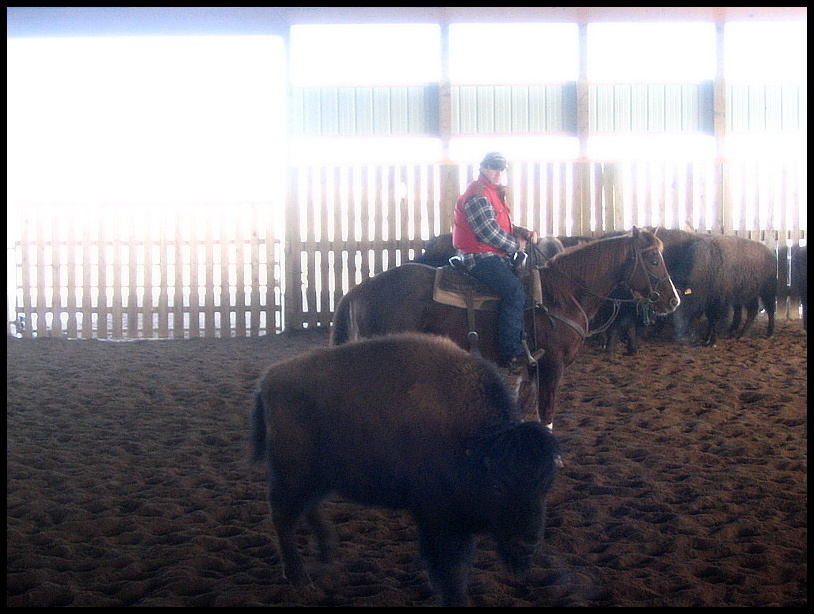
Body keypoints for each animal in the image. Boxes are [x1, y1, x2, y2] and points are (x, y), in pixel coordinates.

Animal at [252, 334, 564, 608]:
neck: (472, 443)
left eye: (547, 484)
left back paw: (326, 553)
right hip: (294, 476)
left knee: (307, 509)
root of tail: (270, 378)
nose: (528, 544)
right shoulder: (441, 520)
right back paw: (299, 577)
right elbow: (452, 568)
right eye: (498, 485)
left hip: (318, 477)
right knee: (284, 517)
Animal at [328, 227, 680, 434]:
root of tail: (358, 290)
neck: (560, 294)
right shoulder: (552, 364)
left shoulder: (531, 365)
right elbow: (546, 411)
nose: (673, 300)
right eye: (652, 259)